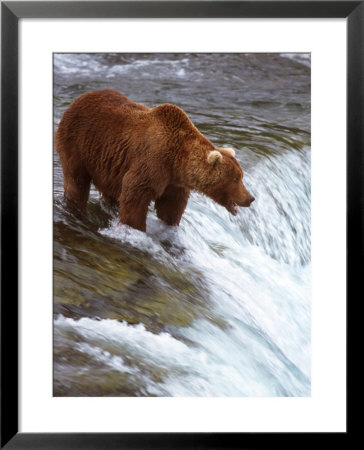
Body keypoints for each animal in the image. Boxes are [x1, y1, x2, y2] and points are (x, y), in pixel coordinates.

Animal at [55, 91, 255, 232]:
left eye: (241, 176)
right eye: (236, 179)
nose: (251, 198)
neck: (177, 161)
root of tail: (79, 98)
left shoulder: (173, 182)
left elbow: (171, 206)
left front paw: (169, 225)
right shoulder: (153, 162)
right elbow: (135, 195)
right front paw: (135, 229)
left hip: (107, 165)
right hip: (78, 144)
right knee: (76, 181)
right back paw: (76, 209)